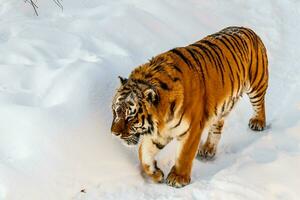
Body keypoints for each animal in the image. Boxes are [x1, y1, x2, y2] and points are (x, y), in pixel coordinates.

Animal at [110, 26, 270, 188]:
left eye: (131, 116)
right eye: (115, 112)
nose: (113, 133)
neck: (162, 119)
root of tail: (246, 29)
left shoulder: (191, 129)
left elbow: (184, 155)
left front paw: (177, 178)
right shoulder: (160, 132)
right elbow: (144, 153)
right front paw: (156, 174)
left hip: (256, 84)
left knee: (260, 104)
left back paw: (258, 122)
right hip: (223, 105)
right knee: (217, 125)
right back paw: (207, 149)